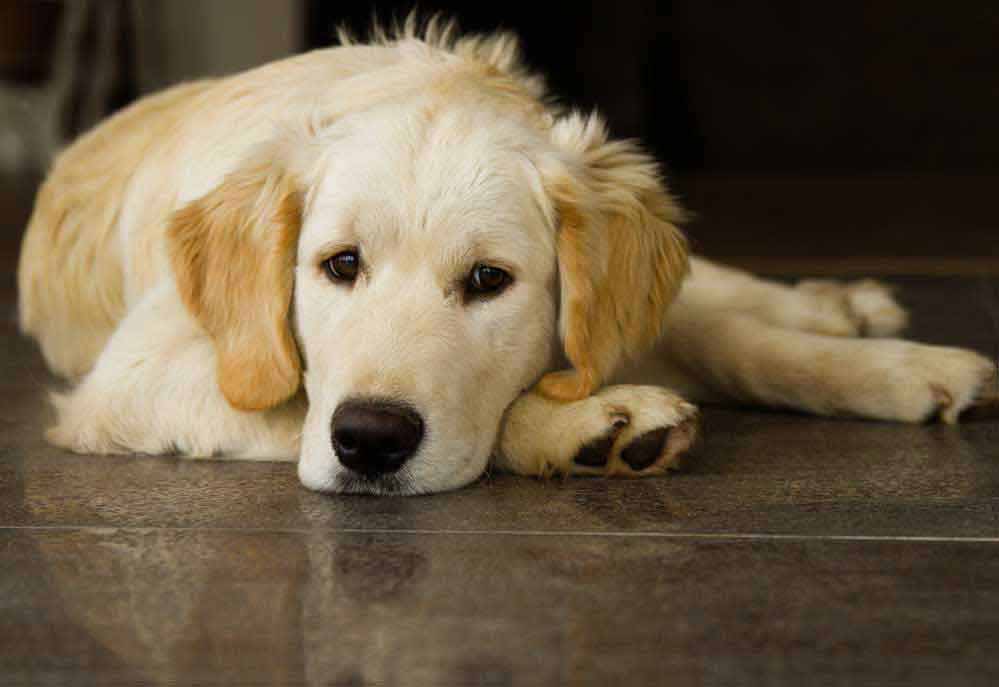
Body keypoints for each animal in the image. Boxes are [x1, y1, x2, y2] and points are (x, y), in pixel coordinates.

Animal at [17, 20, 999, 494]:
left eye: (489, 280)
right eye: (338, 265)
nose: (370, 441)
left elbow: (737, 344)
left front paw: (898, 369)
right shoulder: (127, 381)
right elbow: (300, 400)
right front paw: (588, 425)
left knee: (715, 301)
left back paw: (844, 307)